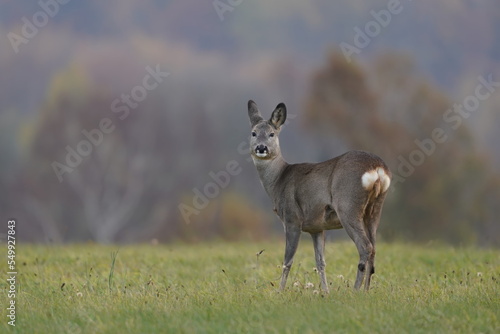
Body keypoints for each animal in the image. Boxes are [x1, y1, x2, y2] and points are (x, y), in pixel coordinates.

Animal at [248, 100, 392, 290]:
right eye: (254, 133)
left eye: (272, 134)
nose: (261, 148)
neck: (279, 180)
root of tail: (377, 168)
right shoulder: (316, 227)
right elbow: (320, 261)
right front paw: (325, 291)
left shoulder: (292, 219)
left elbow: (287, 261)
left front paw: (279, 291)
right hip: (375, 209)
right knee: (374, 248)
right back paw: (367, 290)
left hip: (348, 205)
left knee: (365, 247)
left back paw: (356, 291)